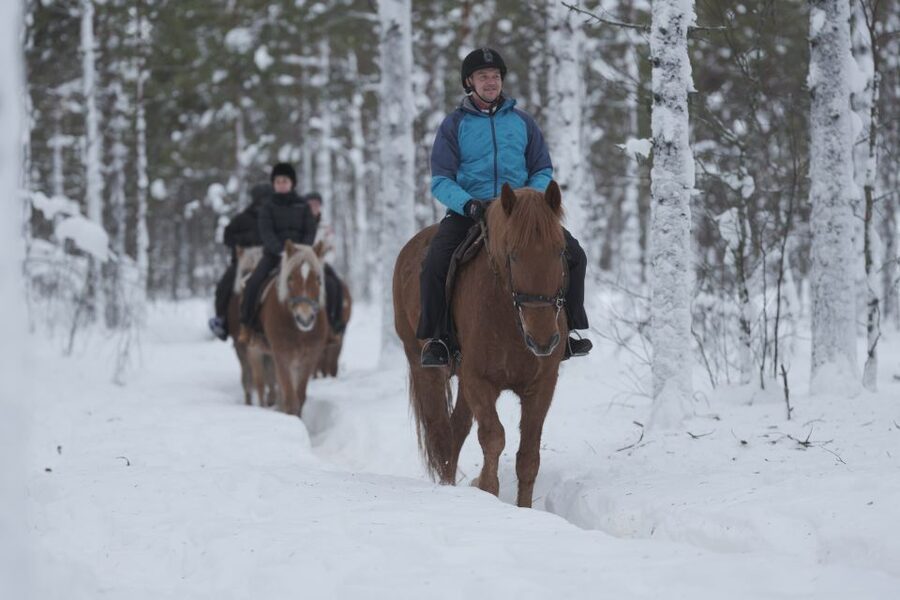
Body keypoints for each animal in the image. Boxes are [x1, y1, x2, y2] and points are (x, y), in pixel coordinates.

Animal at [247, 240, 329, 417]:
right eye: (290, 278)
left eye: (318, 278)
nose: (305, 318)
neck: (300, 332)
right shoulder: (283, 356)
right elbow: (291, 400)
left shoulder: (307, 359)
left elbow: (300, 397)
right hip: (254, 351)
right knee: (260, 384)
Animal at [393, 182, 568, 508]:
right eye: (513, 255)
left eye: (560, 250)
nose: (543, 340)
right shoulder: (479, 381)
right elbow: (493, 437)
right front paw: (486, 488)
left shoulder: (542, 385)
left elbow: (528, 456)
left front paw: (524, 508)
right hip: (423, 366)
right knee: (441, 431)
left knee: (456, 429)